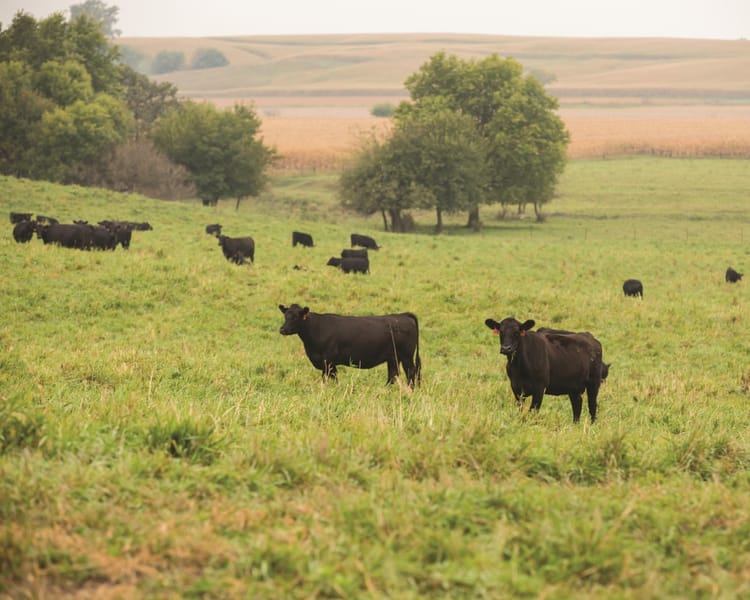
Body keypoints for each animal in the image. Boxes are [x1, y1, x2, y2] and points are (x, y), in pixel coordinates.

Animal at [278, 303, 421, 387]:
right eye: (286, 316)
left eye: (296, 317)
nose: (282, 329)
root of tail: (403, 315)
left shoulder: (328, 361)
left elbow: (328, 379)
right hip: (393, 358)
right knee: (393, 375)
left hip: (406, 356)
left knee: (411, 372)